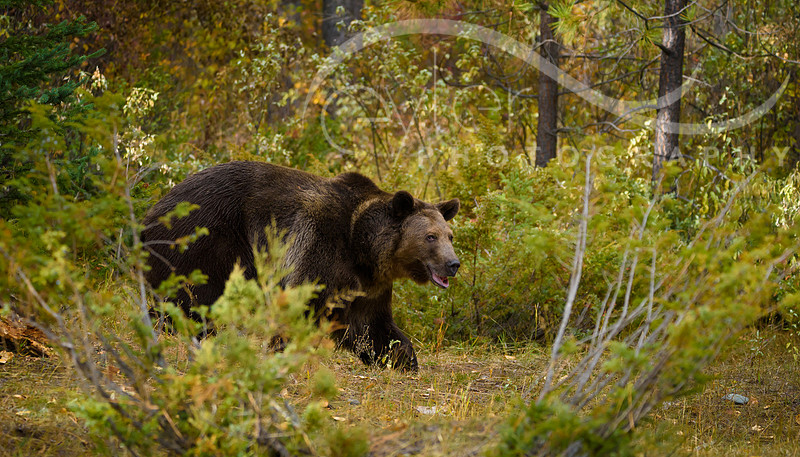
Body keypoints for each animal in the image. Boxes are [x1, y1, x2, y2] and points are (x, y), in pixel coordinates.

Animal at [141, 161, 460, 370]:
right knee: (193, 294)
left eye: (449, 235)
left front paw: (402, 358)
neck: (363, 247)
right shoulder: (318, 248)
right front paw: (282, 350)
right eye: (430, 236)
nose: (453, 263)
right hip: (203, 240)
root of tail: (151, 210)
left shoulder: (368, 286)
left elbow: (372, 325)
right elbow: (300, 304)